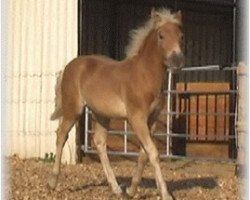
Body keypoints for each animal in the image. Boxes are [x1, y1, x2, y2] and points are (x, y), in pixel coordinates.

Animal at [49, 8, 185, 200]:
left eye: (181, 36)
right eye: (161, 35)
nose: (178, 60)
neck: (144, 75)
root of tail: (68, 66)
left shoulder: (151, 120)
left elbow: (144, 154)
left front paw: (131, 190)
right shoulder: (136, 118)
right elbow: (152, 152)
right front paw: (165, 194)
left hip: (101, 114)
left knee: (99, 142)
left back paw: (116, 188)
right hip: (73, 110)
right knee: (61, 136)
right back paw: (52, 182)